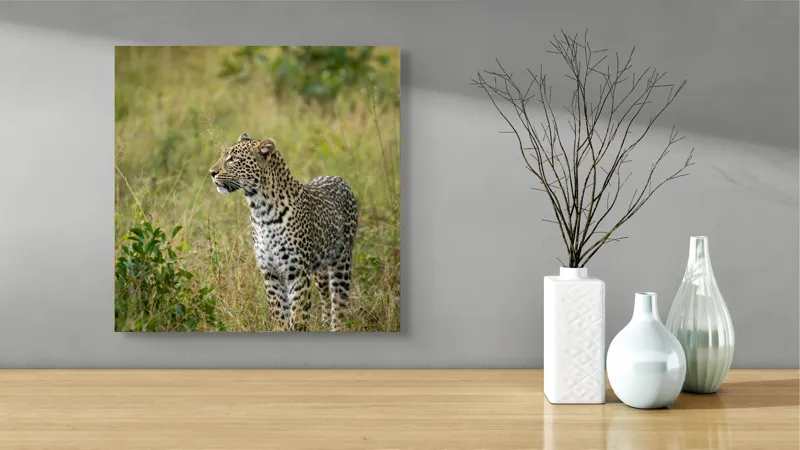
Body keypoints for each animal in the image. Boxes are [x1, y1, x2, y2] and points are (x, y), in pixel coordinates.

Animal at [209, 133, 358, 331]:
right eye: (223, 155)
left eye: (232, 159)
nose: (211, 172)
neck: (260, 210)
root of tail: (339, 179)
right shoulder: (270, 273)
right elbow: (279, 313)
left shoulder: (297, 273)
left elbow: (299, 315)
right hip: (320, 268)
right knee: (326, 296)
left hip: (341, 261)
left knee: (339, 303)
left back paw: (337, 327)